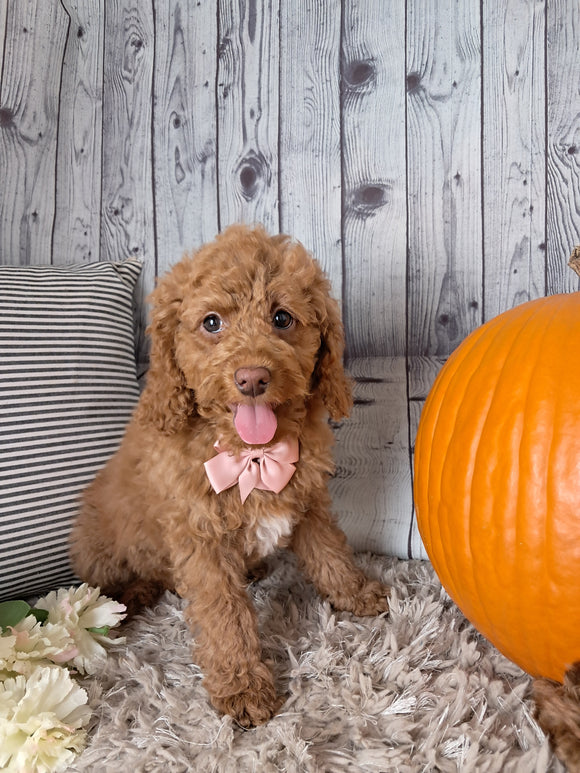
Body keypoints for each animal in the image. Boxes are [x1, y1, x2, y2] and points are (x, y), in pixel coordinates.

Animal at [72, 222, 390, 724]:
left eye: (282, 318)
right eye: (211, 323)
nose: (252, 378)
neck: (252, 456)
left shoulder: (308, 500)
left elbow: (331, 552)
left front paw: (356, 592)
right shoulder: (201, 539)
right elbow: (224, 614)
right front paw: (242, 687)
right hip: (100, 546)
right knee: (117, 581)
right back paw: (134, 594)